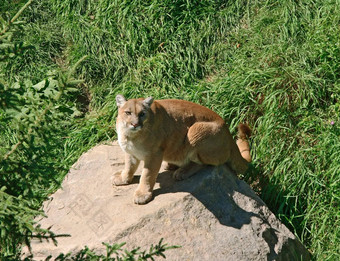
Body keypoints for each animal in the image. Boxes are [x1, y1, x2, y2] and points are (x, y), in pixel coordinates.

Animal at [113, 94, 251, 204]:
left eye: (142, 114)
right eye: (128, 113)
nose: (135, 124)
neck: (130, 136)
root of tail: (229, 134)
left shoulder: (154, 154)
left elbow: (147, 175)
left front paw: (142, 195)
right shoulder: (131, 153)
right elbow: (129, 167)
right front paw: (123, 179)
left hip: (194, 131)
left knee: (206, 164)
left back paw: (182, 171)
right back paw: (171, 165)